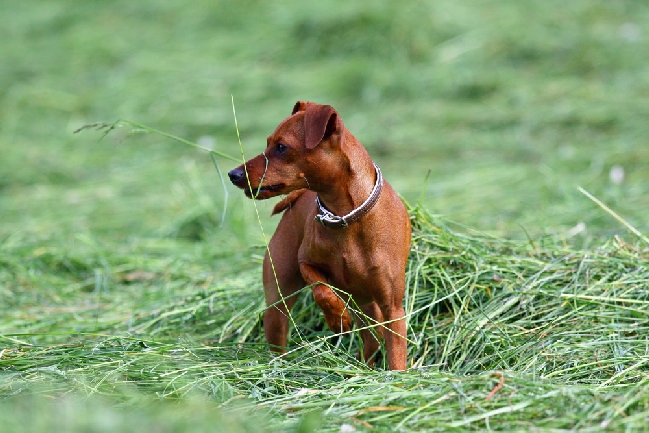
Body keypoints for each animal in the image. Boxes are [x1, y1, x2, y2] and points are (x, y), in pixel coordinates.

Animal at [228, 100, 410, 368]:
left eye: (281, 147)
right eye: (268, 142)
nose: (233, 174)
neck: (345, 217)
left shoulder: (392, 308)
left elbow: (396, 355)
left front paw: (397, 377)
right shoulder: (306, 262)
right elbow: (321, 288)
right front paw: (337, 319)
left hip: (370, 309)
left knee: (372, 340)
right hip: (279, 302)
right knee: (279, 335)